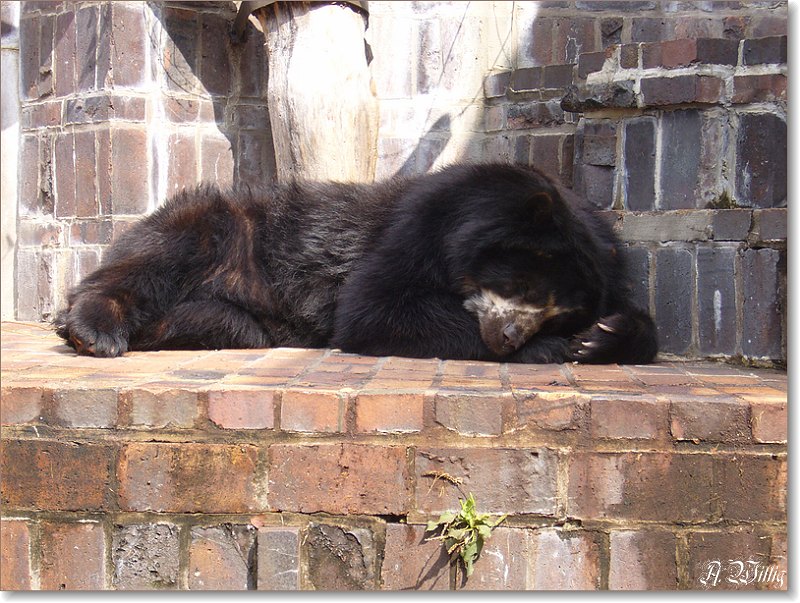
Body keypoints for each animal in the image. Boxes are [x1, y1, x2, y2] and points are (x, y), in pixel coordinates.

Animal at [54, 163, 656, 364]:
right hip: (229, 230)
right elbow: (376, 308)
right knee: (165, 249)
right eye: (525, 282)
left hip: (240, 316)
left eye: (559, 309)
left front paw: (600, 337)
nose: (507, 338)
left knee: (227, 325)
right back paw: (92, 328)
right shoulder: (418, 223)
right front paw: (552, 350)